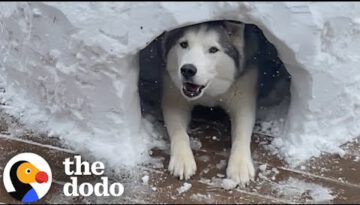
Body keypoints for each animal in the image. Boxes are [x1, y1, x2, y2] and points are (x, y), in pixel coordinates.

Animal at [162, 20, 260, 186]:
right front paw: (182, 159)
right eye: (184, 44)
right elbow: (179, 132)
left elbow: (241, 135)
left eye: (213, 49)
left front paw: (240, 165)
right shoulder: (174, 100)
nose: (187, 69)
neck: (209, 93)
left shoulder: (243, 101)